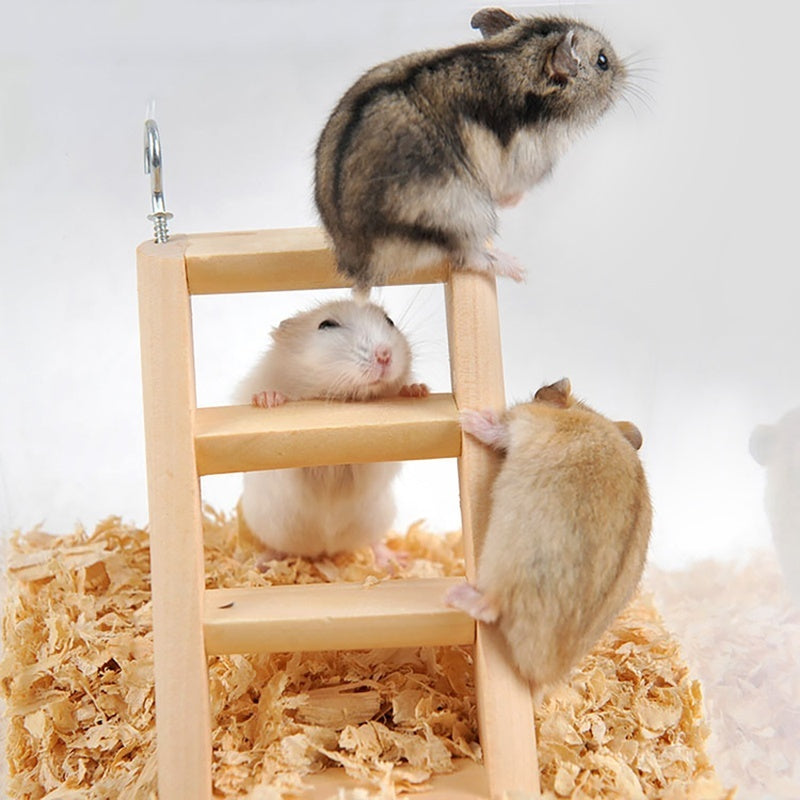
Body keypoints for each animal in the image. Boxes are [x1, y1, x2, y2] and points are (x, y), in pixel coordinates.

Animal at [233, 298, 429, 559]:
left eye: (389, 321)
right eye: (326, 325)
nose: (384, 354)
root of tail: (325, 548)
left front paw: (417, 390)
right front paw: (268, 399)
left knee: (374, 542)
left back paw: (396, 559)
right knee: (279, 548)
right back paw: (262, 561)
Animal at [315, 7, 626, 290]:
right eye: (603, 61)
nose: (625, 73)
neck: (517, 55)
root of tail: (360, 268)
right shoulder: (528, 163)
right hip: (464, 216)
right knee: (470, 257)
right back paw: (516, 269)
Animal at [446, 378, 652, 689]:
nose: (466, 416)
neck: (585, 414)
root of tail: (544, 671)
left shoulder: (522, 421)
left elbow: (499, 430)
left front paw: (470, 419)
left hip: (508, 565)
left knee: (490, 607)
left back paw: (455, 595)